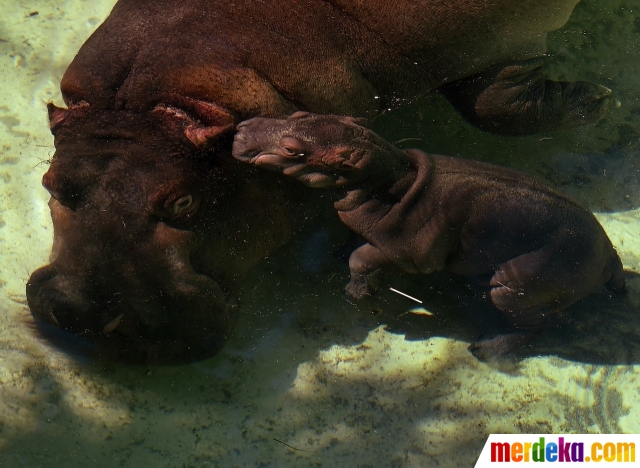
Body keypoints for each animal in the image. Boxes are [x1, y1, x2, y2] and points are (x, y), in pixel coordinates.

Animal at [231, 113, 624, 358]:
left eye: (292, 149)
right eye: (299, 113)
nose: (240, 130)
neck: (388, 178)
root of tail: (608, 254)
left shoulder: (409, 252)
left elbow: (364, 257)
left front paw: (356, 292)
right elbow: (352, 240)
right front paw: (339, 254)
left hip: (518, 285)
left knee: (539, 323)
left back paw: (487, 349)